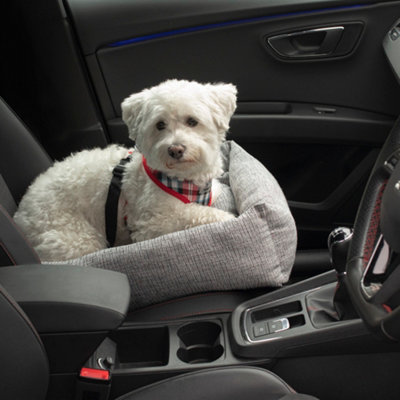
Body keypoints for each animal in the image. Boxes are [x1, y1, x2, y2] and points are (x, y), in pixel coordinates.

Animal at [14, 80, 236, 262]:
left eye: (192, 121)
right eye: (160, 125)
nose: (175, 149)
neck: (181, 179)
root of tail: (20, 215)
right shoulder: (150, 223)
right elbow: (195, 213)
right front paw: (226, 218)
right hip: (74, 238)